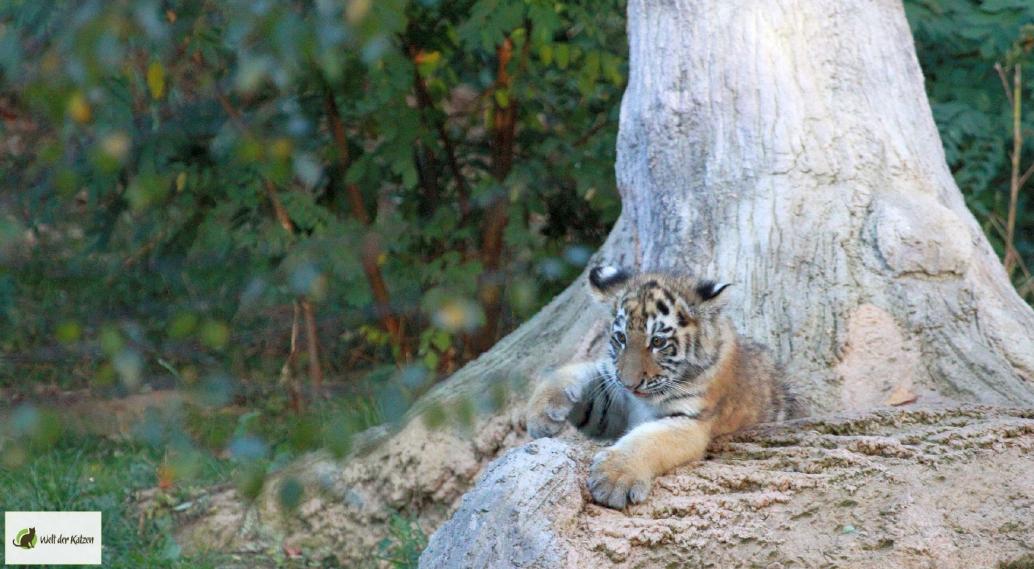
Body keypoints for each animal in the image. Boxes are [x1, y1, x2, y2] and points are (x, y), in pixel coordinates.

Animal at [525, 265, 798, 509]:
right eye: (621, 338)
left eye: (657, 342)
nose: (629, 383)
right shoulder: (612, 399)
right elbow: (580, 372)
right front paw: (540, 413)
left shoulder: (690, 421)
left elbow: (648, 440)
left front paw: (614, 478)